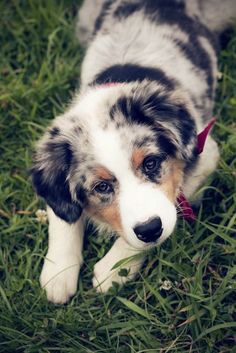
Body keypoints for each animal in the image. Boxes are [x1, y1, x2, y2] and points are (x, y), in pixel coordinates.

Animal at [31, 0, 236, 302]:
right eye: (102, 187)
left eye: (150, 163)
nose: (149, 230)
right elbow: (63, 216)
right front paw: (59, 272)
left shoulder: (205, 151)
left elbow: (173, 201)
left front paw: (114, 268)